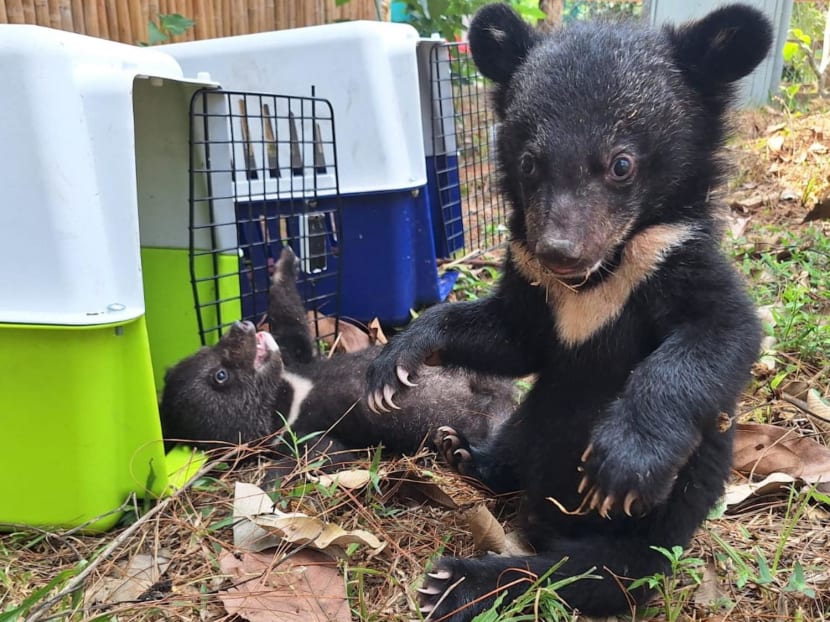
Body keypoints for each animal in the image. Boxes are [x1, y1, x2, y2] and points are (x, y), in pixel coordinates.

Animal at [159, 248, 515, 465]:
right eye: (220, 376)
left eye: (208, 348)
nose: (240, 325)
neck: (289, 395)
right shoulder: (304, 435)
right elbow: (330, 455)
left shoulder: (297, 359)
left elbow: (292, 325)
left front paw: (285, 262)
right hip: (486, 419)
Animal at [365, 3, 769, 619]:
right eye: (530, 162)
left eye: (622, 164)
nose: (559, 251)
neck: (597, 280)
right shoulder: (531, 283)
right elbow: (512, 338)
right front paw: (394, 365)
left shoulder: (676, 258)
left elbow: (721, 331)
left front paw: (622, 462)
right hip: (529, 418)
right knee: (516, 451)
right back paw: (462, 452)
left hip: (643, 542)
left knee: (571, 575)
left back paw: (457, 582)